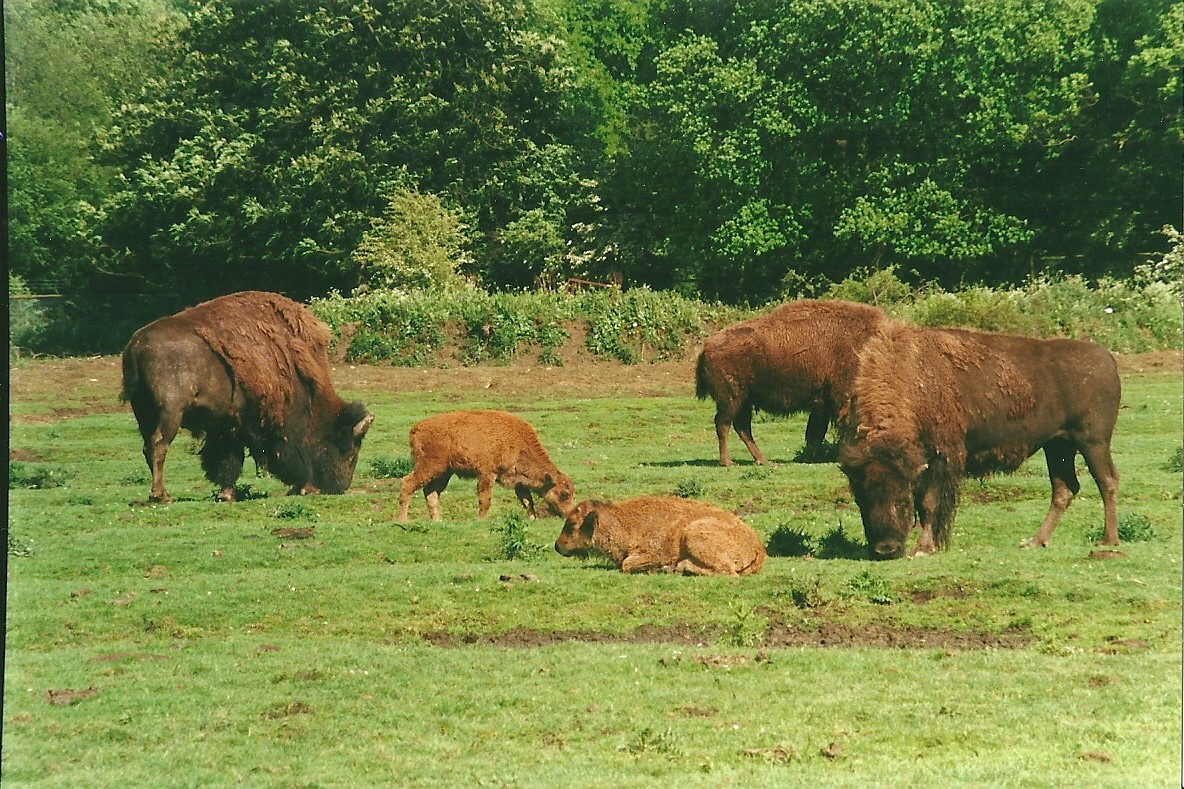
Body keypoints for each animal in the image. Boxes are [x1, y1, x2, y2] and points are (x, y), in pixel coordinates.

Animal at [121, 291, 374, 503]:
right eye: (349, 451)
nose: (340, 486)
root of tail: (136, 344)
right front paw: (306, 488)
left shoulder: (226, 425)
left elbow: (229, 460)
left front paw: (226, 495)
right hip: (171, 412)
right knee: (159, 444)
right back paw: (161, 495)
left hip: (144, 412)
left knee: (148, 447)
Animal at [839, 321, 1120, 559]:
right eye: (860, 499)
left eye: (902, 499)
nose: (885, 549)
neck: (912, 379)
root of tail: (1108, 360)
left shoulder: (941, 459)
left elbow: (929, 504)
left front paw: (923, 548)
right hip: (1058, 446)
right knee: (1064, 489)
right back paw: (1035, 541)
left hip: (1093, 442)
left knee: (1107, 482)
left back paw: (1108, 540)